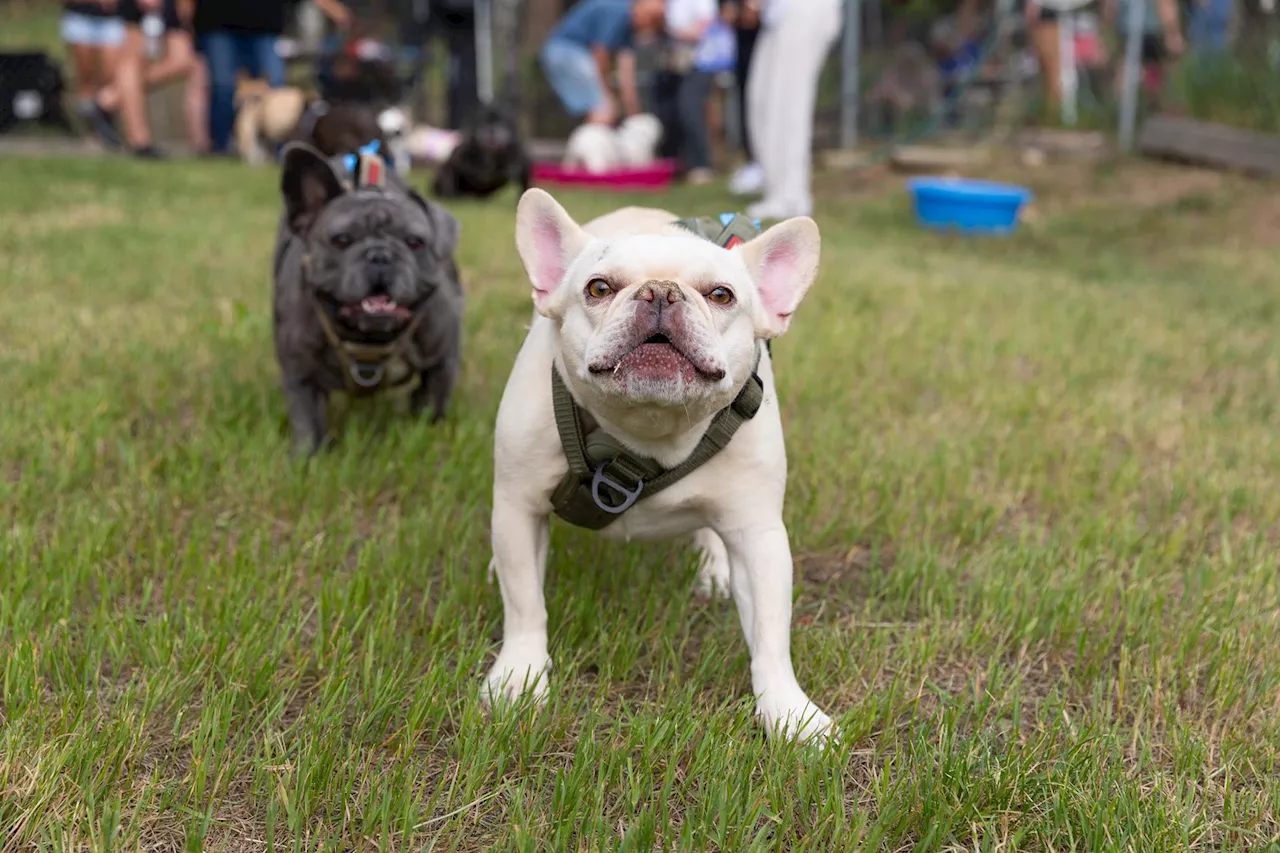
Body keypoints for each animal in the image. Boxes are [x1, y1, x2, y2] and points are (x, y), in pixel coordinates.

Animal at [483, 189, 834, 742]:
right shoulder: (519, 507)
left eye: (722, 295)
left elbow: (771, 633)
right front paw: (519, 675)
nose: (661, 294)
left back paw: (713, 568)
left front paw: (788, 710)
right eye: (598, 288)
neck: (646, 432)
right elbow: (524, 604)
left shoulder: (759, 534)